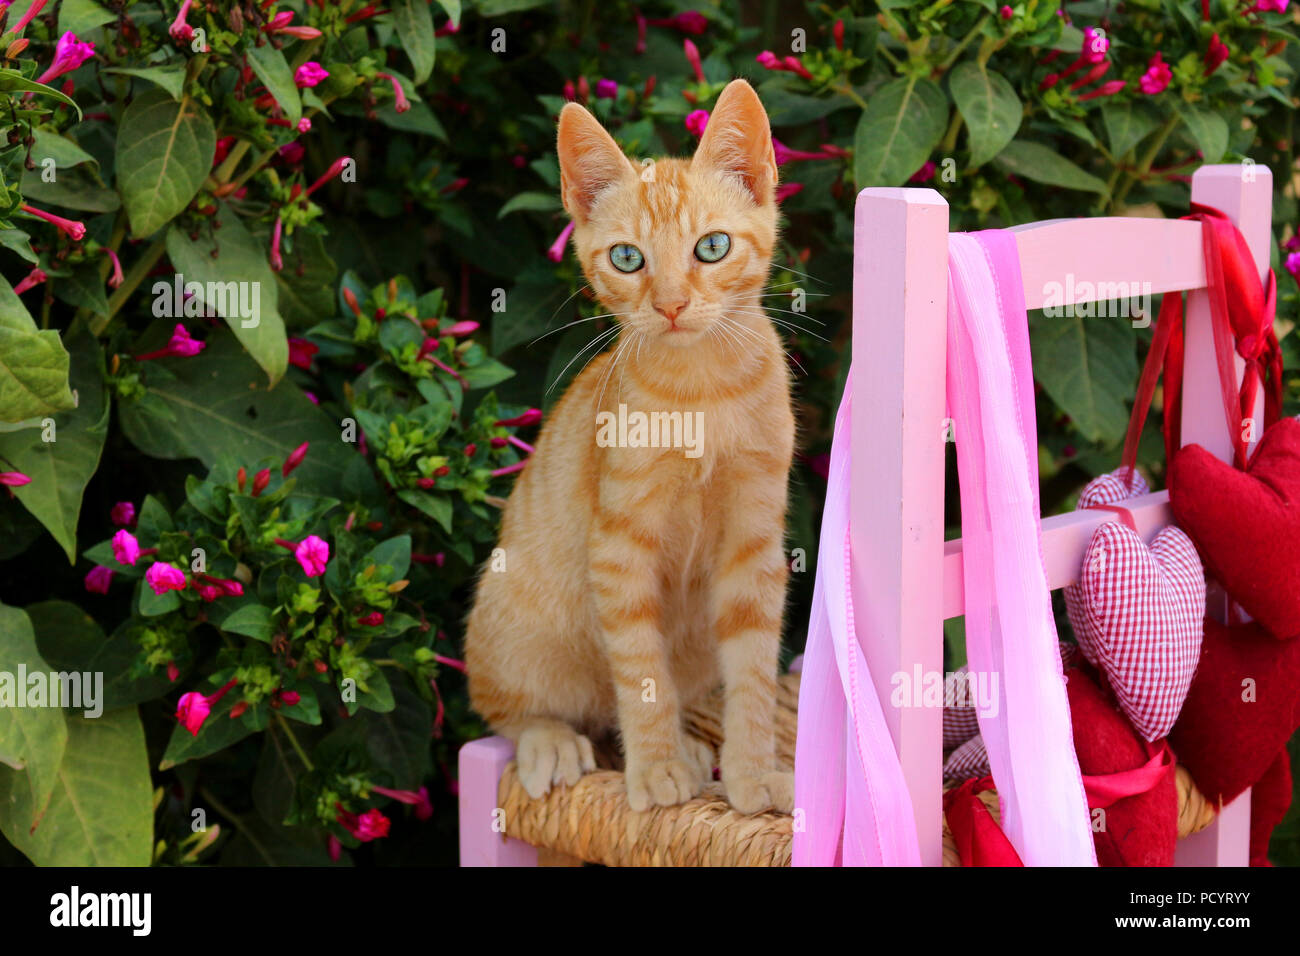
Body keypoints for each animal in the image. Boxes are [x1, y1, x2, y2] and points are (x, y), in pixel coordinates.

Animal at [467, 80, 790, 816]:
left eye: (712, 247)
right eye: (626, 258)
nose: (670, 305)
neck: (702, 391)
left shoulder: (755, 542)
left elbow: (754, 671)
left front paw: (752, 773)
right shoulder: (620, 546)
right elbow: (641, 669)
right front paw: (655, 768)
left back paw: (695, 748)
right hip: (516, 625)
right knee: (511, 708)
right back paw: (556, 742)